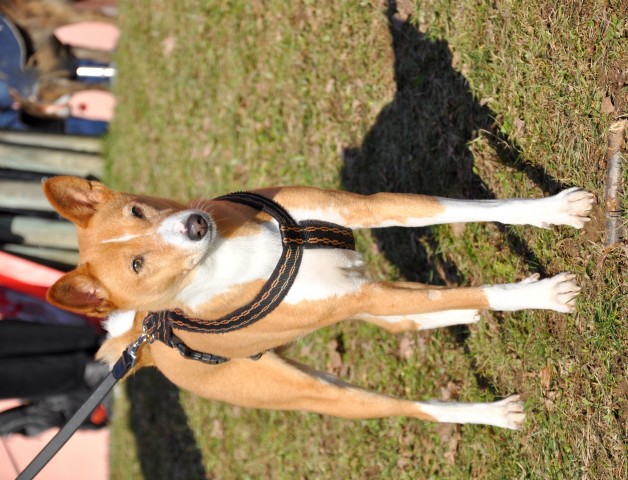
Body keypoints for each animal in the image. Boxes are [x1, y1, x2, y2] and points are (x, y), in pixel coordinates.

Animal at [43, 177, 592, 432]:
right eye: (137, 264)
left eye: (139, 211)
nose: (195, 224)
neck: (233, 254)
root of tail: (147, 342)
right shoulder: (364, 293)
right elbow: (479, 288)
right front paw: (543, 294)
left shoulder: (364, 213)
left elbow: (475, 208)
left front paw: (554, 209)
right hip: (329, 390)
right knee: (412, 404)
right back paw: (493, 413)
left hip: (355, 297)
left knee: (405, 316)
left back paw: (450, 316)